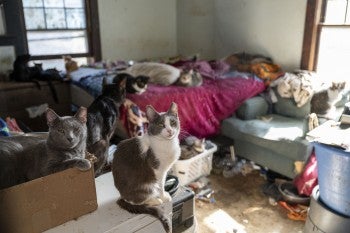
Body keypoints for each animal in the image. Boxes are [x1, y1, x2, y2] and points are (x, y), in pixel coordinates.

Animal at [112, 102, 180, 233]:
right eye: (161, 125)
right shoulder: (158, 169)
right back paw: (155, 200)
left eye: (173, 122)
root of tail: (121, 196)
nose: (170, 130)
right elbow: (161, 185)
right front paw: (163, 196)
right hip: (146, 186)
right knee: (136, 200)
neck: (166, 143)